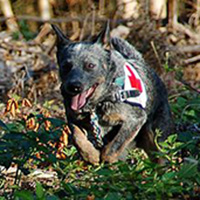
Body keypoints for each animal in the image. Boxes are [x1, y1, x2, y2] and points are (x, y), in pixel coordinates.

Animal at [52, 23, 173, 164]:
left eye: (90, 65)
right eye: (66, 66)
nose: (74, 87)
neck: (97, 104)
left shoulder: (135, 119)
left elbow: (114, 147)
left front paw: (106, 157)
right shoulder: (72, 118)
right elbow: (78, 138)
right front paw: (91, 155)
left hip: (156, 135)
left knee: (160, 155)